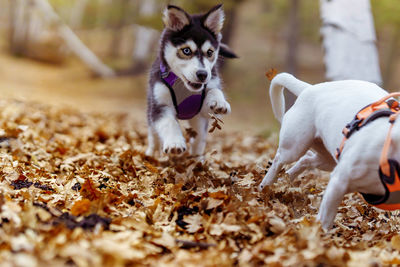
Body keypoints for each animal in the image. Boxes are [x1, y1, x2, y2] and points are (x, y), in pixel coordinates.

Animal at [145, 4, 236, 158]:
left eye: (210, 52)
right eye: (186, 51)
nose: (203, 74)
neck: (184, 87)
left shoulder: (202, 105)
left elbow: (214, 90)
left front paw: (219, 102)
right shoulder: (159, 105)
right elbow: (169, 122)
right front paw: (175, 143)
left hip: (197, 120)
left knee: (199, 136)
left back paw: (197, 157)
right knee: (153, 133)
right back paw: (152, 151)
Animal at [258, 73, 400, 230]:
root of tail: (310, 88)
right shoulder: (339, 183)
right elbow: (325, 219)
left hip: (328, 160)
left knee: (305, 160)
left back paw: (286, 179)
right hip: (294, 147)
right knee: (279, 160)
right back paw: (266, 185)